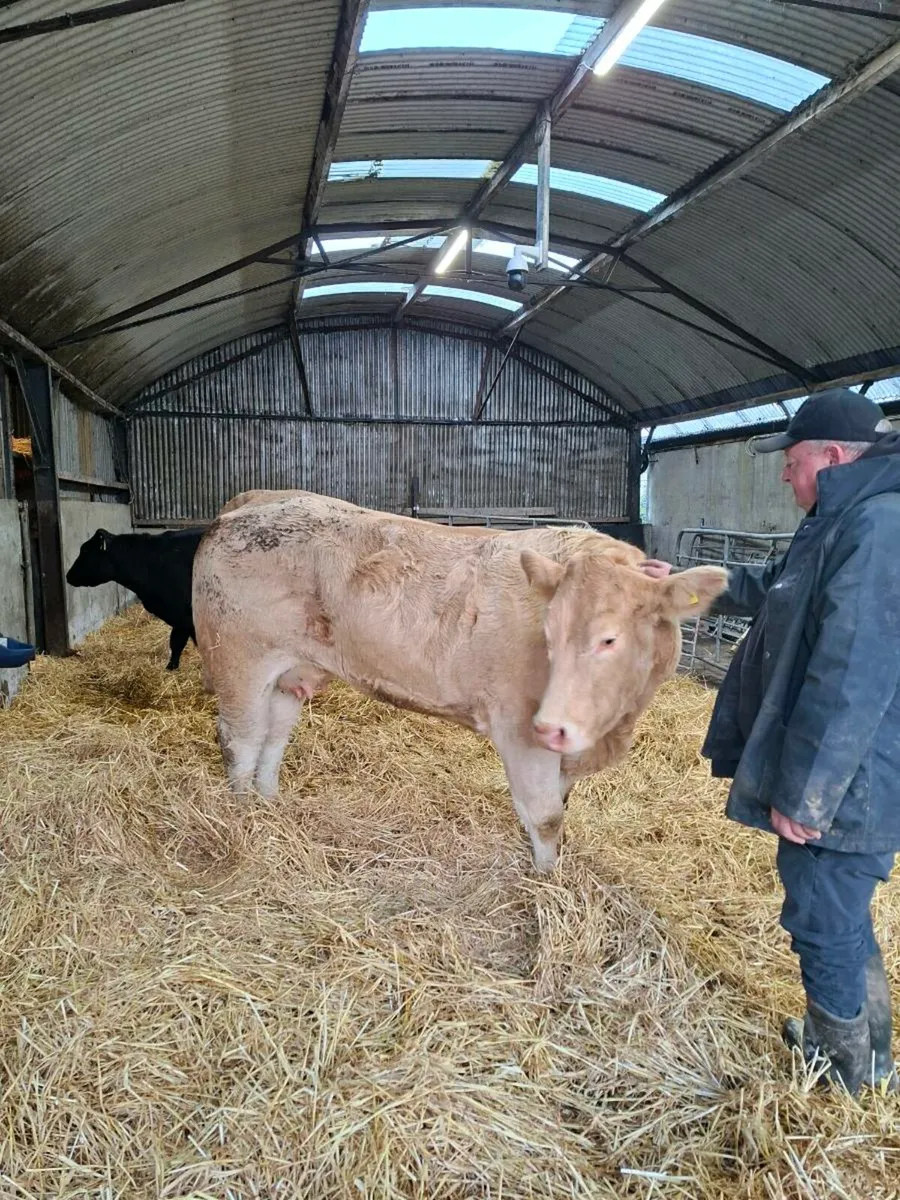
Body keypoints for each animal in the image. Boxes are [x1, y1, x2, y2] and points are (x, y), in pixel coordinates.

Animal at [66, 527, 205, 670]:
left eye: (85, 551)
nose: (68, 575)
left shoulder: (185, 616)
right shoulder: (180, 619)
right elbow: (176, 642)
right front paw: (171, 667)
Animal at [192, 491, 726, 871]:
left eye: (609, 639)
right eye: (548, 634)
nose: (554, 726)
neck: (611, 727)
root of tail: (254, 503)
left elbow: (560, 805)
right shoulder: (521, 729)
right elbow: (546, 815)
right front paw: (548, 882)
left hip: (290, 672)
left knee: (273, 737)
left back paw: (269, 804)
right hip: (239, 660)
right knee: (241, 741)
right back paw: (243, 816)